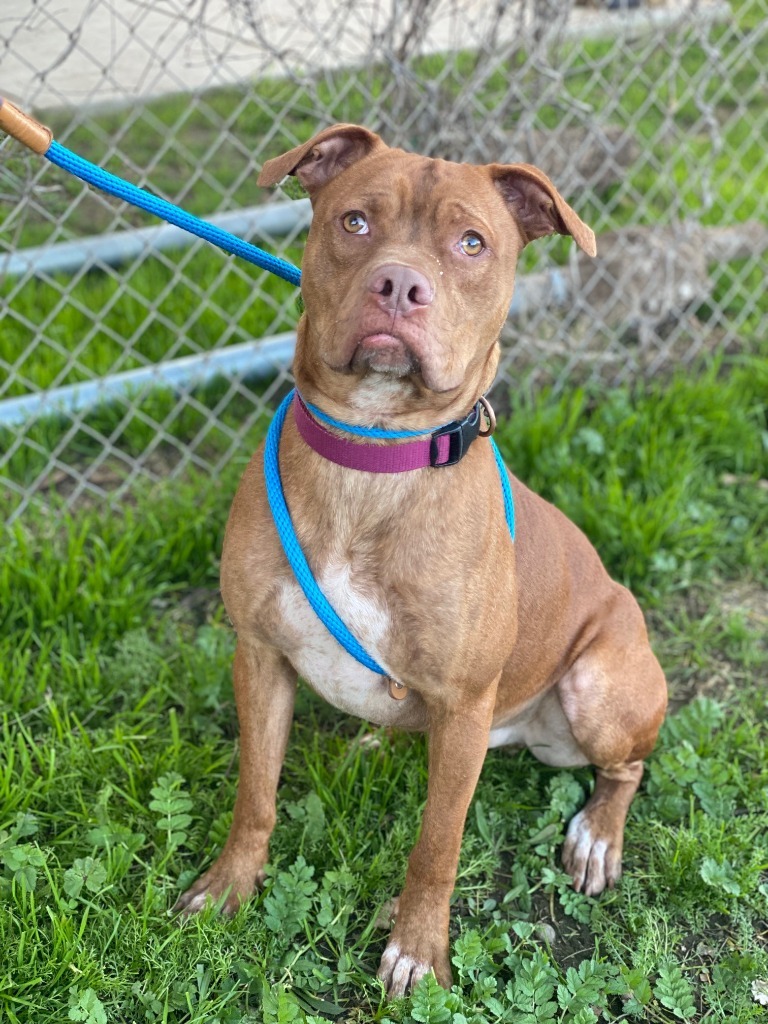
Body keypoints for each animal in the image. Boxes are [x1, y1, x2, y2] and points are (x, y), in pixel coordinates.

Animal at [177, 123, 671, 995]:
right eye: (355, 222)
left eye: (472, 243)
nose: (400, 284)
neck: (372, 458)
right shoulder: (259, 654)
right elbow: (255, 794)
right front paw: (230, 886)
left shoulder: (466, 701)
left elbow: (437, 843)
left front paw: (417, 949)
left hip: (598, 690)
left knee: (626, 770)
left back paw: (597, 838)